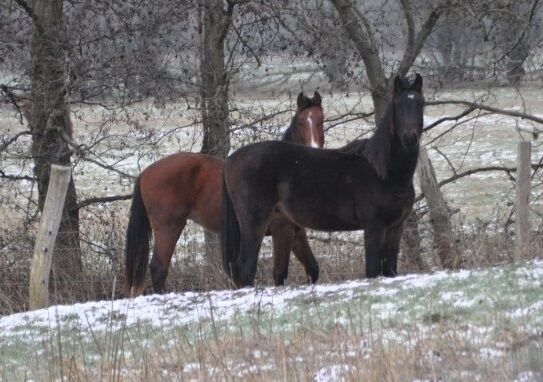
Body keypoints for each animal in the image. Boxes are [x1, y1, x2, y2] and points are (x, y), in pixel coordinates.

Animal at [125, 92, 326, 296]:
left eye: (321, 121)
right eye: (300, 122)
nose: (314, 150)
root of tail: (145, 173)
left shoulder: (296, 231)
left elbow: (313, 268)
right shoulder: (282, 230)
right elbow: (279, 274)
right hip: (169, 228)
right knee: (158, 268)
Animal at [221, 74, 424, 286]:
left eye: (421, 104)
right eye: (398, 106)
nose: (410, 139)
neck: (383, 172)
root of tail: (231, 160)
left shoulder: (395, 228)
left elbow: (390, 269)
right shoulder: (373, 227)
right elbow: (373, 270)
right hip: (254, 224)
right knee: (245, 269)